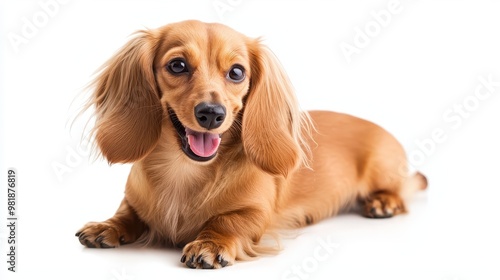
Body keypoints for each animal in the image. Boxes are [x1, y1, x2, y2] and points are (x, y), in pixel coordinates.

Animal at [76, 19, 428, 270]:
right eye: (177, 65)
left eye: (236, 72)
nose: (211, 114)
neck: (185, 172)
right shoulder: (133, 202)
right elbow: (127, 213)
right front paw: (107, 226)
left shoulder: (255, 213)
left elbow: (227, 220)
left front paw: (210, 243)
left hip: (382, 169)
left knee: (402, 189)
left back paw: (384, 202)